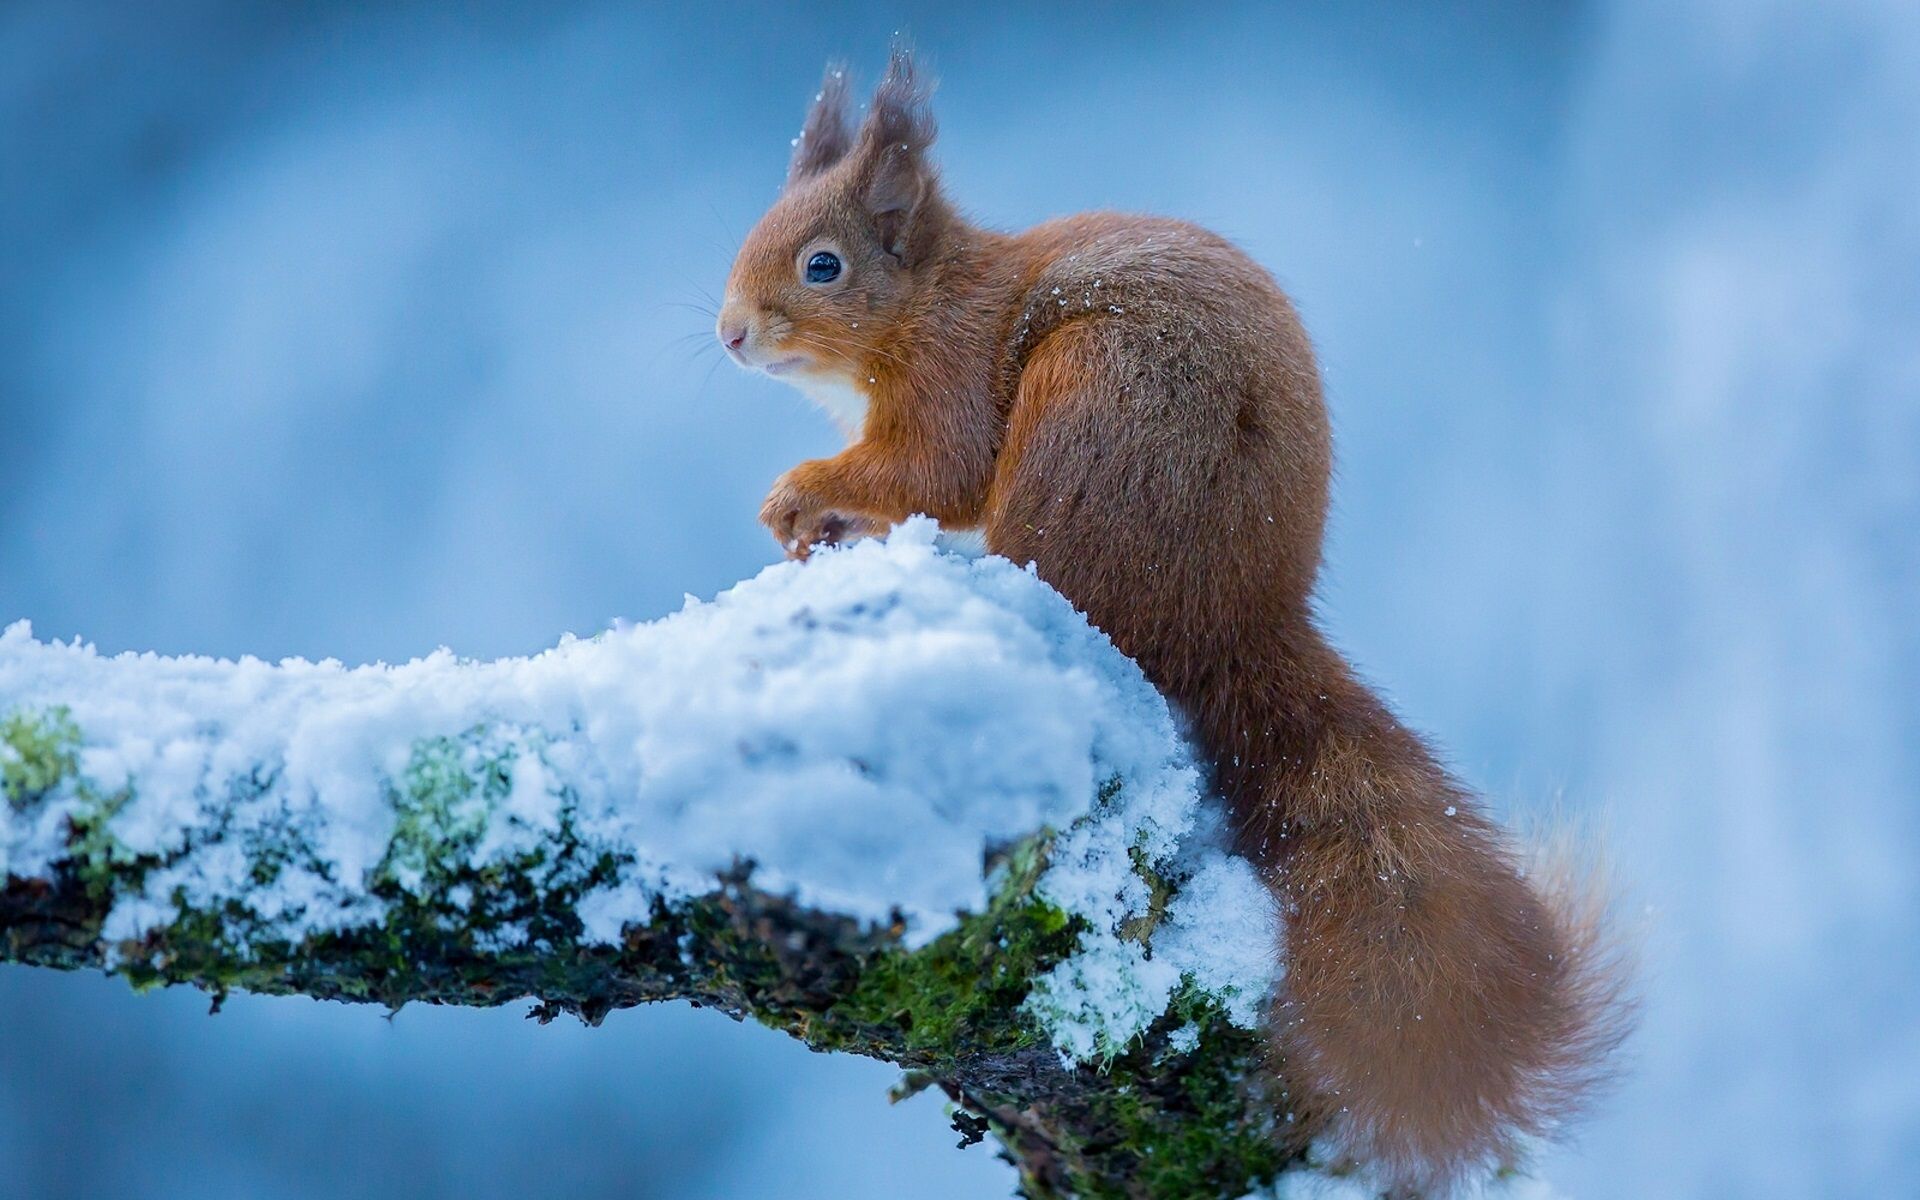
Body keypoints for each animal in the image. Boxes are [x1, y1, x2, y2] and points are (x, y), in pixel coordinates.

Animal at [716, 49, 1629, 1195]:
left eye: (823, 267)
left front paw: (803, 493)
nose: (730, 334)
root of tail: (1235, 618)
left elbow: (934, 470)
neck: (926, 299)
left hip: (1090, 412)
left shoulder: (948, 382)